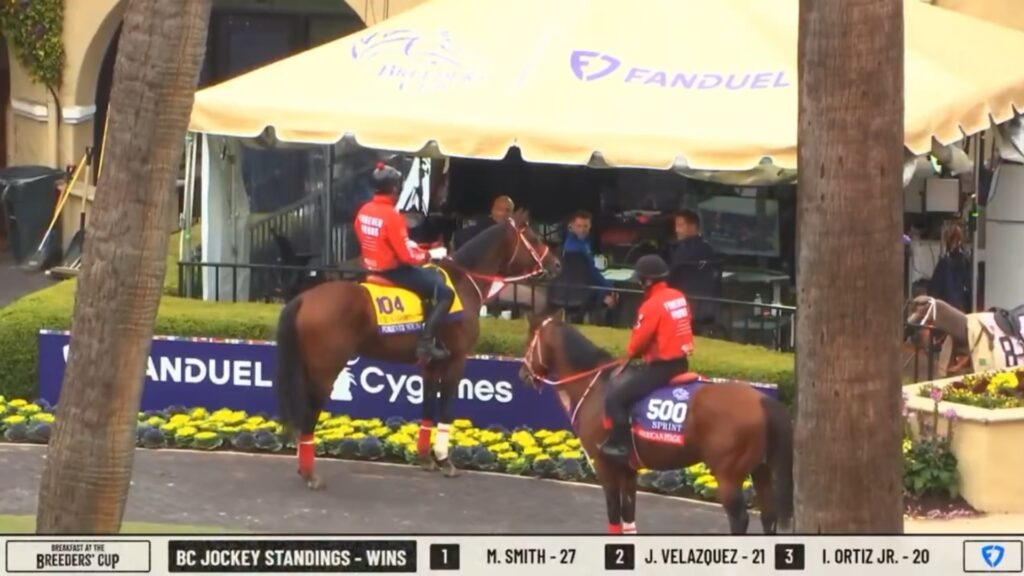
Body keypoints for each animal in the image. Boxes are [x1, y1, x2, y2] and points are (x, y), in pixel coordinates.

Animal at [274, 215, 561, 489]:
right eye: (533, 237)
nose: (557, 265)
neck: (462, 283)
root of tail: (304, 298)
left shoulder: (431, 365)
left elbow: (427, 407)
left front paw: (426, 458)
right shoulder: (456, 361)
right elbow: (444, 409)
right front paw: (445, 460)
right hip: (325, 371)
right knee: (309, 414)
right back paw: (310, 474)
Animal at [518, 310, 793, 535]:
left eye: (529, 341)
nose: (523, 374)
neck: (597, 385)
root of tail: (761, 399)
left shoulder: (606, 466)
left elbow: (614, 517)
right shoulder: (628, 470)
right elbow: (629, 518)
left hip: (728, 475)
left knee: (739, 520)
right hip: (760, 469)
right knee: (769, 517)